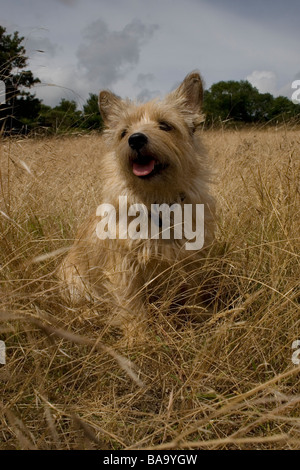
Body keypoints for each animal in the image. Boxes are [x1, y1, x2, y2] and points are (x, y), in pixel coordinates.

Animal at [57, 70, 214, 342]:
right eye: (124, 132)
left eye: (165, 125)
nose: (136, 139)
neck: (156, 201)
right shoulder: (124, 268)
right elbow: (133, 307)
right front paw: (139, 340)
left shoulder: (190, 260)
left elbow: (193, 296)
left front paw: (199, 321)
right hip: (73, 280)